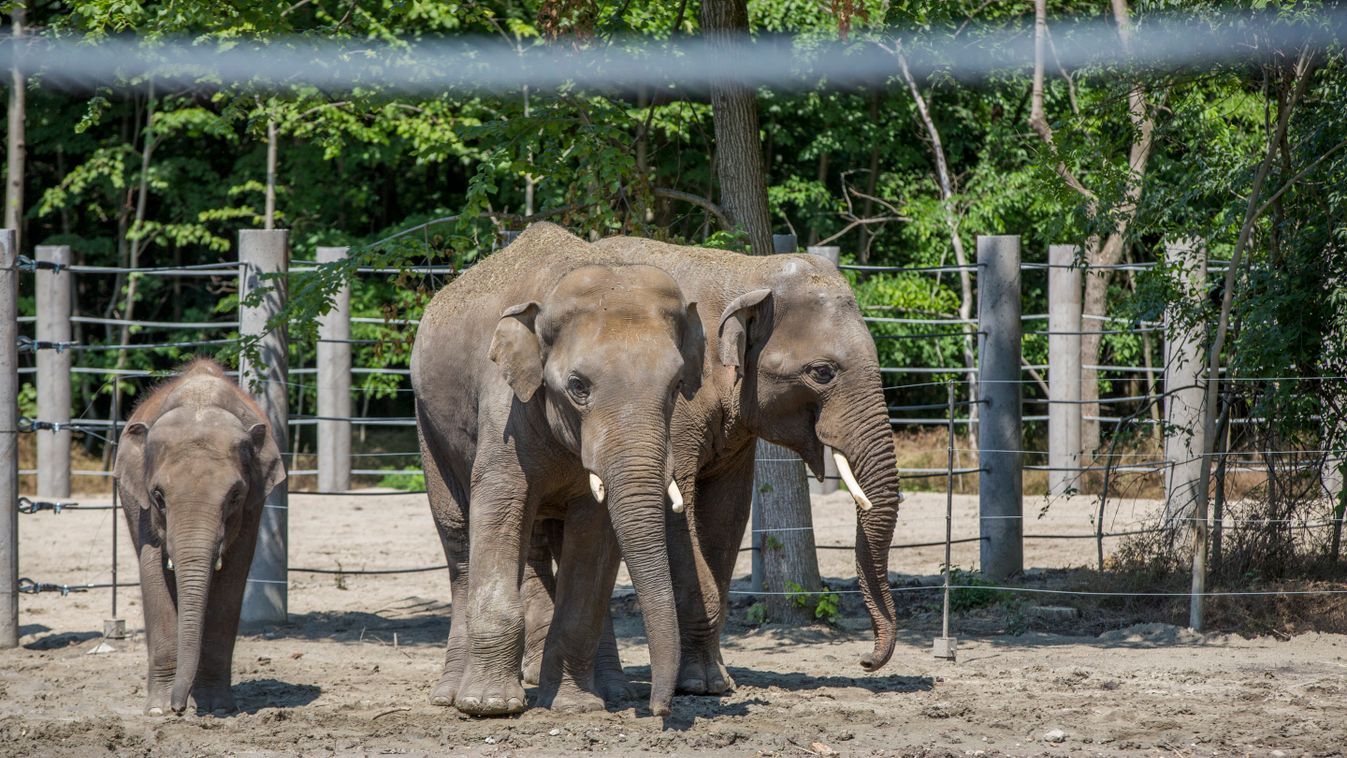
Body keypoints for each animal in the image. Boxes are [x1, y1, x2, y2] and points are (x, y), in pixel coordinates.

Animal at [113, 358, 284, 716]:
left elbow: (233, 576)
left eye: (235, 496)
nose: (180, 708)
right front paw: (159, 710)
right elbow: (153, 570)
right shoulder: (143, 509)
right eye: (158, 496)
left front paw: (217, 708)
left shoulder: (254, 504)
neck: (198, 403)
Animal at [409, 223, 705, 716]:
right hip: (426, 419)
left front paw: (574, 707)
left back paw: (612, 693)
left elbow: (595, 533)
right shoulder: (504, 405)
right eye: (577, 386)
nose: (660, 709)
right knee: (458, 538)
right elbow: (499, 505)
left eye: (678, 385)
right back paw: (450, 696)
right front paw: (491, 706)